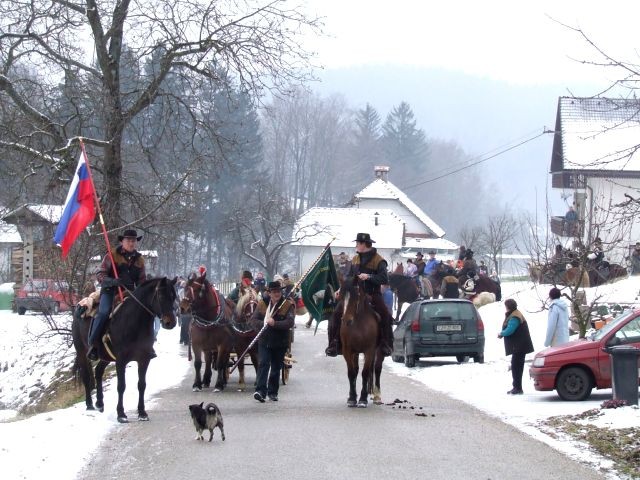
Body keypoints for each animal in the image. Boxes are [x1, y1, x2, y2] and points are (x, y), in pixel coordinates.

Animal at [72, 278, 178, 424]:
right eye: (161, 296)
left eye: (173, 297)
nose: (170, 323)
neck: (134, 323)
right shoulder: (121, 361)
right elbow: (121, 386)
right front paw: (121, 414)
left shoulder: (144, 360)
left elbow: (141, 385)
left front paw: (142, 413)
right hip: (82, 352)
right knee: (86, 377)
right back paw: (89, 405)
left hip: (106, 356)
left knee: (98, 371)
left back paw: (100, 403)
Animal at [338, 276, 382, 406]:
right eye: (340, 296)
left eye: (356, 295)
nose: (346, 320)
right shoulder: (347, 351)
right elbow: (352, 373)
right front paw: (352, 398)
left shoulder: (369, 351)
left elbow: (365, 373)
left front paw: (363, 399)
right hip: (356, 353)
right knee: (357, 370)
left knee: (377, 369)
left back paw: (377, 396)